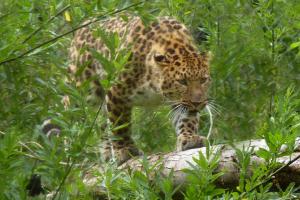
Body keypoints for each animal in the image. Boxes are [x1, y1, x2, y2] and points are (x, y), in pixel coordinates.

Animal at [56, 13, 211, 165]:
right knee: (69, 109)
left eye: (203, 80)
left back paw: (106, 152)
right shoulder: (116, 92)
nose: (197, 103)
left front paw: (189, 138)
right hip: (84, 88)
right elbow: (119, 125)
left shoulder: (180, 102)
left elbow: (187, 118)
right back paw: (69, 152)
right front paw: (124, 150)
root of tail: (82, 28)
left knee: (102, 123)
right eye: (182, 81)